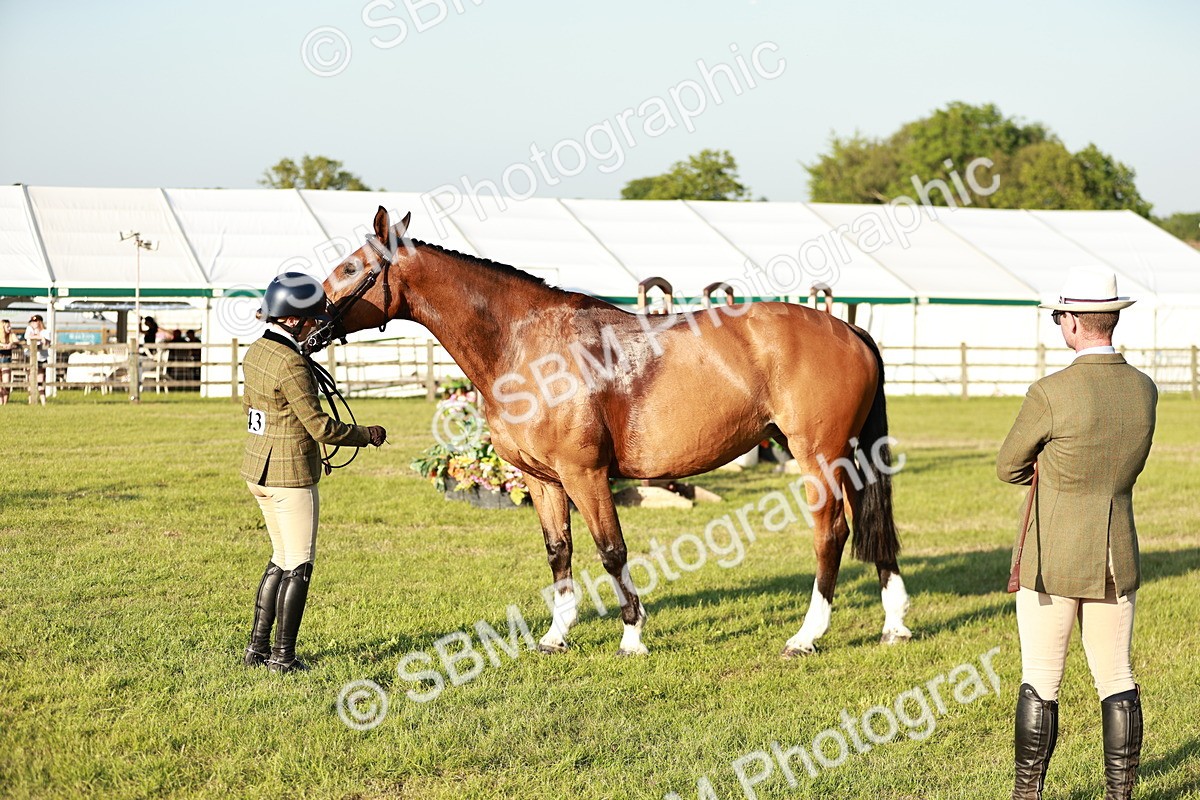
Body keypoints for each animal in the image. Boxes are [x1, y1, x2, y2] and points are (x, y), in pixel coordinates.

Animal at [311, 206, 912, 657]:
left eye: (350, 267)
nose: (299, 320)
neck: (525, 345)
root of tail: (850, 330)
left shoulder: (587, 474)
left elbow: (611, 551)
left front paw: (632, 636)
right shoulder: (544, 481)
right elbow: (559, 551)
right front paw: (555, 635)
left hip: (818, 458)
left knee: (831, 533)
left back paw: (807, 636)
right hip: (848, 456)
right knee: (871, 525)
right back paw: (894, 624)